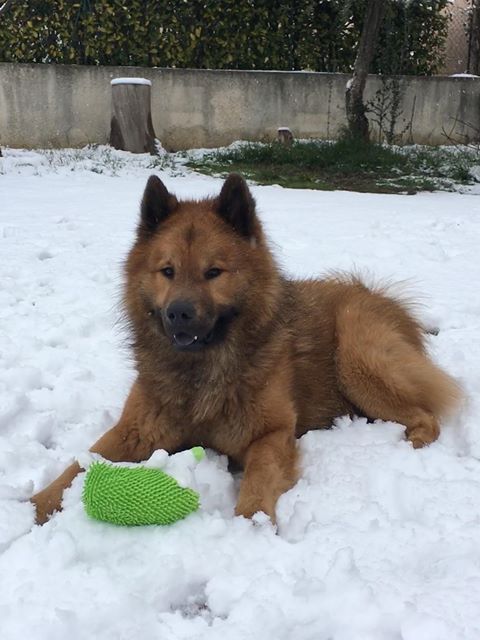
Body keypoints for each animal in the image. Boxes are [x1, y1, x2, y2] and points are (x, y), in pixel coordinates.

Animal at [31, 172, 462, 524]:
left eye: (214, 272)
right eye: (167, 271)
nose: (178, 314)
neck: (202, 369)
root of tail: (384, 300)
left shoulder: (270, 433)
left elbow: (258, 478)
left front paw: (251, 523)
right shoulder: (134, 430)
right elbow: (78, 465)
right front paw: (35, 505)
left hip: (356, 357)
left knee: (427, 416)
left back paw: (408, 443)